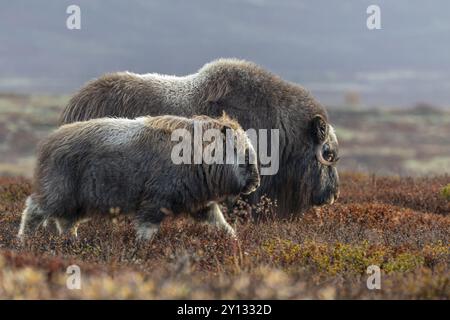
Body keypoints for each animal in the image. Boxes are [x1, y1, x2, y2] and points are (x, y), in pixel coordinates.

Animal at [18, 114, 260, 239]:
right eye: (243, 152)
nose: (255, 183)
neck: (199, 156)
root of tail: (48, 142)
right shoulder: (155, 201)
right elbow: (147, 228)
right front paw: (142, 248)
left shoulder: (199, 203)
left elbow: (219, 223)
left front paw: (233, 240)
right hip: (58, 191)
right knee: (34, 210)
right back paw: (24, 241)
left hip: (76, 203)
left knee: (66, 222)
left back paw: (71, 242)